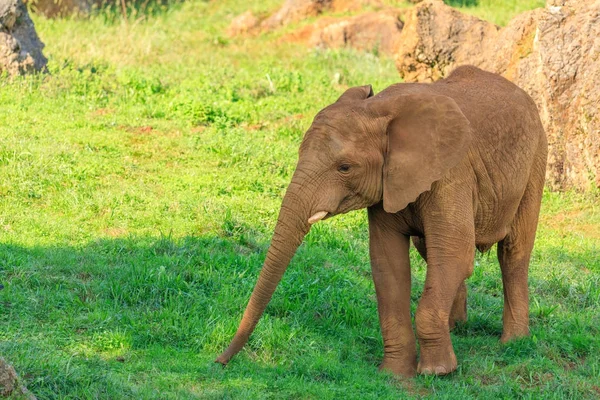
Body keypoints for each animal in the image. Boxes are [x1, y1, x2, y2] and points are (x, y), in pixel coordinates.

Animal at [216, 65, 548, 376]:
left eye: (345, 168)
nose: (219, 362)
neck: (379, 110)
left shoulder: (452, 174)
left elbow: (454, 253)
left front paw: (437, 372)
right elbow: (389, 263)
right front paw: (395, 373)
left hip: (536, 158)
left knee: (513, 252)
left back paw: (513, 342)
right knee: (429, 250)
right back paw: (457, 328)